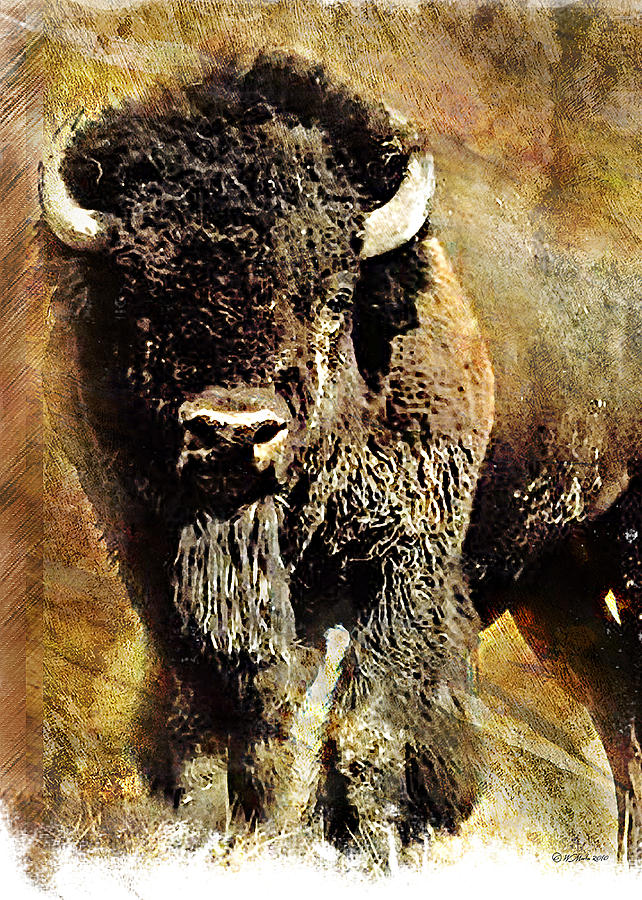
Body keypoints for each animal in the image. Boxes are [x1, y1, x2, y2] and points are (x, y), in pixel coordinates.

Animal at [41, 52, 642, 862]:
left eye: (331, 299)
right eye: (145, 300)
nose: (234, 429)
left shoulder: (404, 564)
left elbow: (371, 725)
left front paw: (375, 839)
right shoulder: (159, 565)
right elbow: (226, 720)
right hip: (559, 593)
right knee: (614, 707)